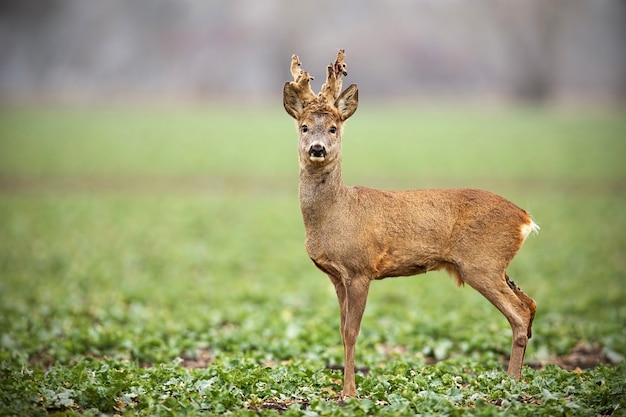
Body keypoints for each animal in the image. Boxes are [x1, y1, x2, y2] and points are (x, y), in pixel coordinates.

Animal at [282, 50, 536, 398]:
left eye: (333, 128)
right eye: (305, 127)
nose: (317, 148)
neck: (337, 213)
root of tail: (525, 218)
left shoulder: (360, 268)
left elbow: (352, 331)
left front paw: (349, 393)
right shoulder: (336, 275)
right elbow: (340, 327)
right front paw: (344, 389)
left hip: (482, 262)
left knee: (520, 312)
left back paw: (511, 383)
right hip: (497, 265)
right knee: (530, 303)